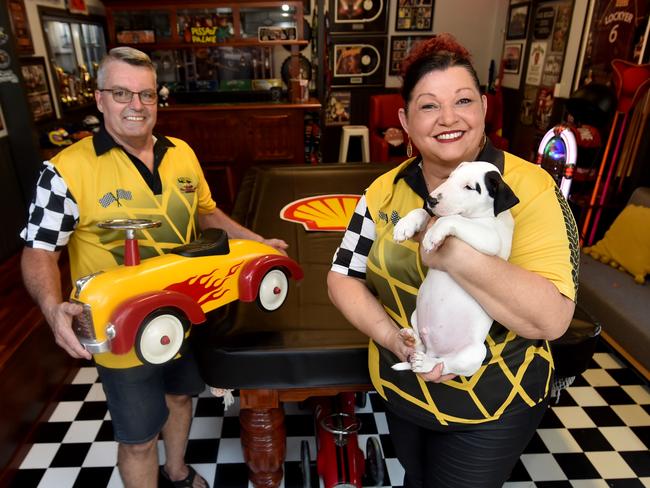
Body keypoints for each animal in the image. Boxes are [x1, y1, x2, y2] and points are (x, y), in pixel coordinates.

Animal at [390, 160, 516, 378]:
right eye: (450, 177)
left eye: (469, 187)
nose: (431, 199)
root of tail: (435, 350)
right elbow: (424, 213)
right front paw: (405, 225)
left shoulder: (491, 239)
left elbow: (450, 219)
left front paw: (434, 235)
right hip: (416, 316)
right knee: (421, 347)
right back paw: (410, 340)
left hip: (474, 354)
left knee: (443, 365)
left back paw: (425, 363)